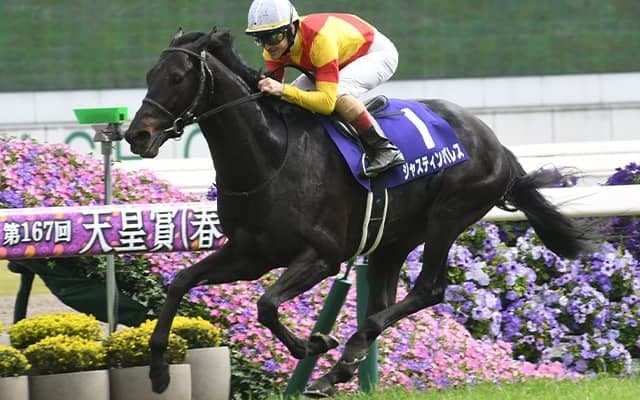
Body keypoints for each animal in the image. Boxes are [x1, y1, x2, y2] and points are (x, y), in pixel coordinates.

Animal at [124, 27, 596, 397]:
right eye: (148, 76)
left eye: (177, 77)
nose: (136, 135)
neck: (271, 158)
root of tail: (496, 144)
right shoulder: (249, 254)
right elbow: (180, 283)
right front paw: (159, 371)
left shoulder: (321, 256)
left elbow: (267, 304)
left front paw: (312, 345)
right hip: (394, 239)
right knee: (382, 302)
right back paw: (341, 367)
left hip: (449, 216)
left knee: (428, 290)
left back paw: (343, 355)